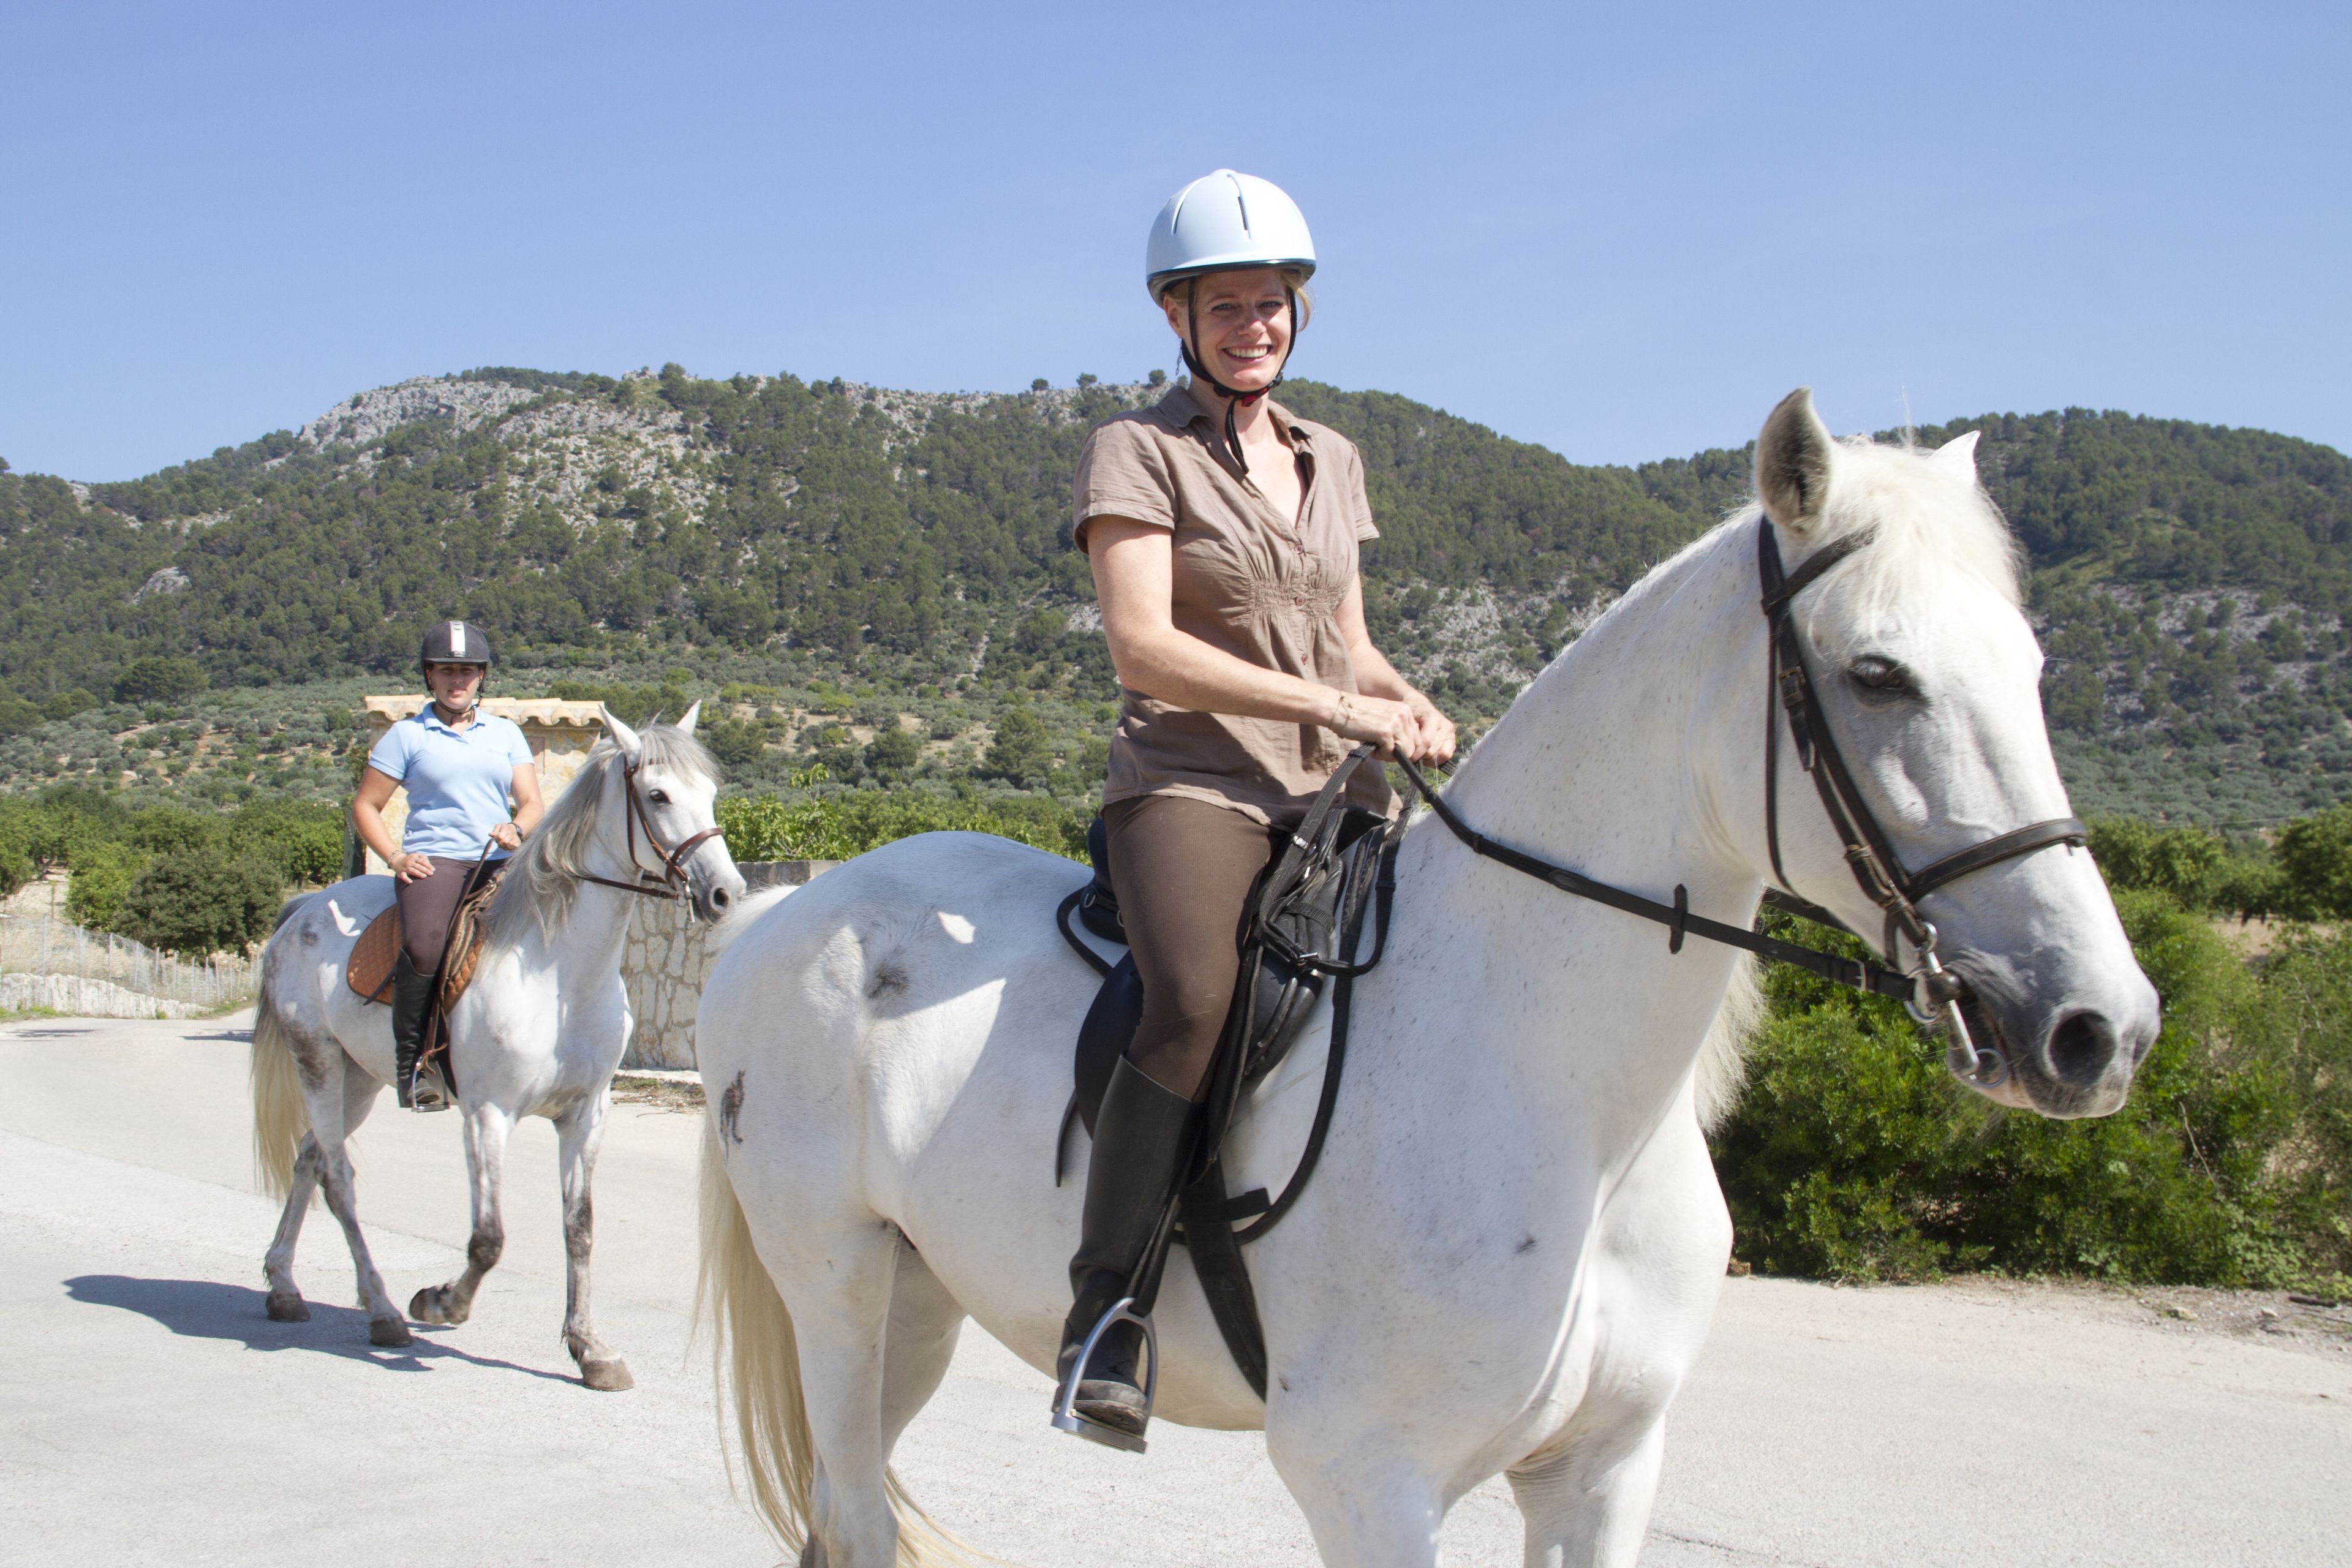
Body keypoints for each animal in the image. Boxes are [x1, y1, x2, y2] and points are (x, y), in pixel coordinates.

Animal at [250, 706, 745, 1389]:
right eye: (657, 796)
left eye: (711, 793)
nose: (726, 894)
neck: (558, 973)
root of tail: (302, 910)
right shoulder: (488, 1115)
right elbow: (488, 1239)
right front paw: (439, 1302)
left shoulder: (587, 1114)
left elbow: (579, 1229)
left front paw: (591, 1348)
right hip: (318, 1061)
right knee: (337, 1178)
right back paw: (383, 1311)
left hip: (359, 1078)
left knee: (308, 1159)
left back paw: (283, 1287)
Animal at [690, 389, 2162, 1567]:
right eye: (1878, 674)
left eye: (2033, 667)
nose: (2099, 1029)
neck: (1565, 1108)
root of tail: (787, 910)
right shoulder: (1370, 1484)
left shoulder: (1604, 1473)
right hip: (836, 1292)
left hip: (918, 1303)